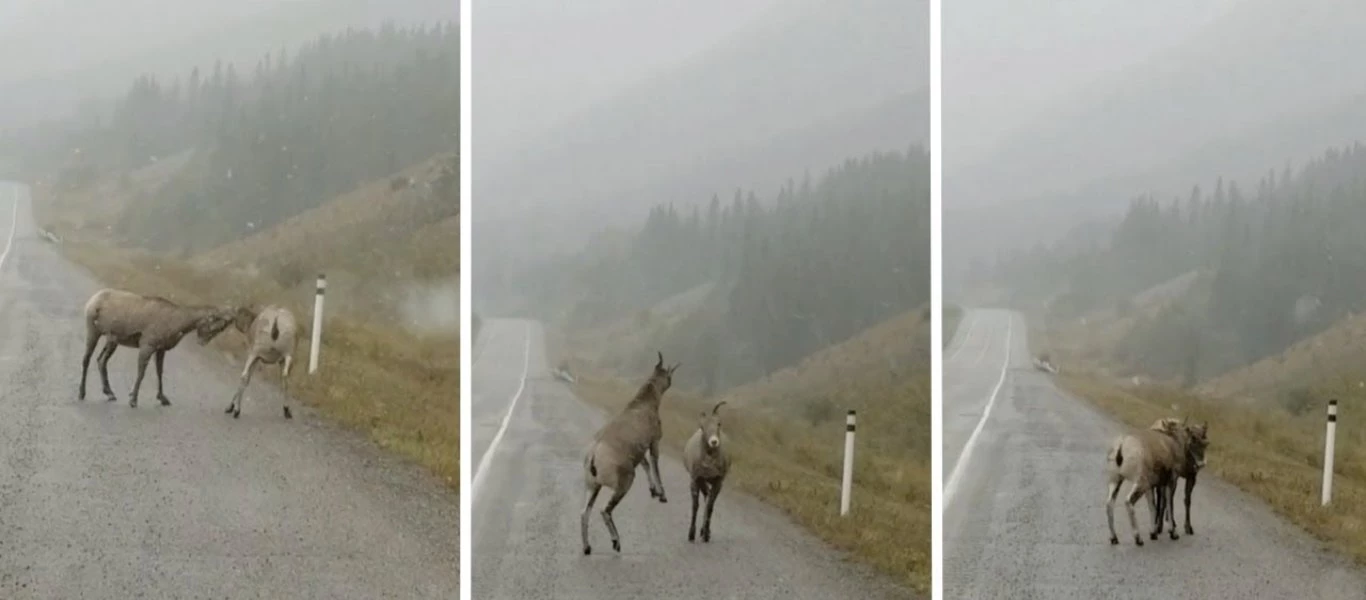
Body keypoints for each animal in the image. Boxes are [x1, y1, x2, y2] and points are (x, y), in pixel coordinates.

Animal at [78, 288, 237, 410]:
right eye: (218, 324)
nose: (202, 342)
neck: (175, 319)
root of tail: (94, 299)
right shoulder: (147, 347)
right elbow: (141, 373)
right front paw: (133, 401)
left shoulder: (160, 350)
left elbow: (159, 372)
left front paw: (163, 399)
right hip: (93, 332)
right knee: (86, 359)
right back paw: (81, 394)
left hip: (112, 341)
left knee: (101, 361)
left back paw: (110, 394)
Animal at [579, 352, 680, 554]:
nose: (670, 381)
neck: (643, 404)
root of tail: (594, 456)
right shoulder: (654, 443)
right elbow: (655, 466)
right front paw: (662, 495)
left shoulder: (639, 453)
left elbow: (647, 466)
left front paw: (653, 491)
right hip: (623, 484)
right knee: (605, 511)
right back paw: (616, 542)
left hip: (593, 487)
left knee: (584, 513)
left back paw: (587, 548)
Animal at [688, 399, 732, 543]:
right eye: (702, 426)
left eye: (719, 423)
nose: (714, 442)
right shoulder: (696, 479)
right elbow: (695, 506)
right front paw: (691, 534)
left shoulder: (718, 482)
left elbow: (710, 506)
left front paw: (706, 535)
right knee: (706, 497)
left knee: (708, 500)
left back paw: (704, 532)